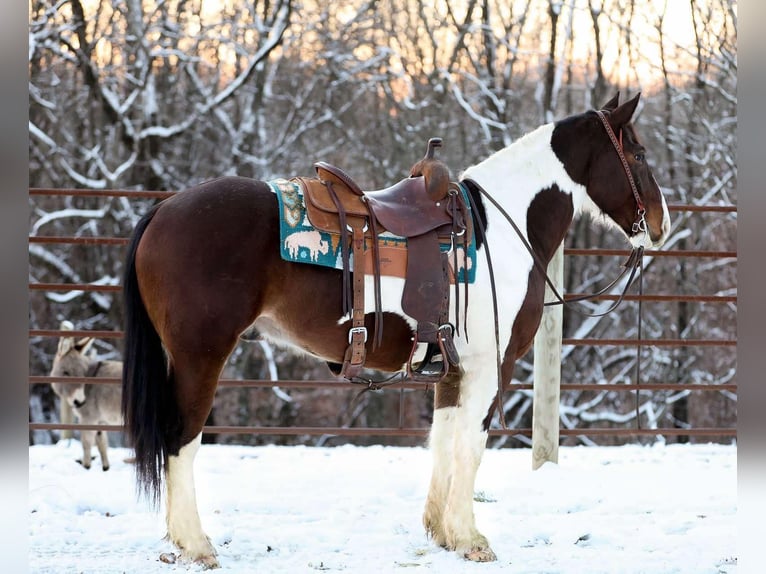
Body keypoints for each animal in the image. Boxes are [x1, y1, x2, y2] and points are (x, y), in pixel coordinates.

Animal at [50, 320, 123, 472]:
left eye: (82, 373)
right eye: (66, 373)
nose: (80, 401)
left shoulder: (88, 417)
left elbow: (86, 443)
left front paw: (86, 466)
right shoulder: (100, 421)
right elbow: (102, 444)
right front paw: (105, 468)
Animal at [121, 92, 672, 568]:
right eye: (639, 153)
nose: (661, 223)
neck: (501, 229)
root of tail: (164, 209)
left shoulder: (452, 369)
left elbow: (444, 441)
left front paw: (443, 533)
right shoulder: (492, 366)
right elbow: (471, 446)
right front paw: (472, 539)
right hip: (201, 357)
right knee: (182, 438)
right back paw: (196, 545)